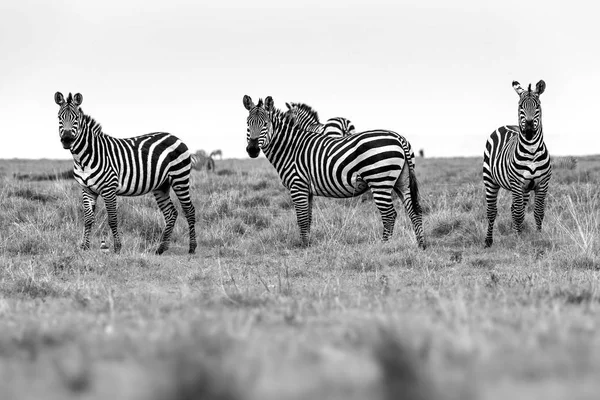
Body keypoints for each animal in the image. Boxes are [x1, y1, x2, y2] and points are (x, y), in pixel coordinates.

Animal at [52, 91, 196, 253]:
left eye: (76, 117)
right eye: (59, 117)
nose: (66, 140)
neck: (84, 158)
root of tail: (175, 137)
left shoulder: (109, 188)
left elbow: (112, 219)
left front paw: (117, 247)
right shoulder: (87, 189)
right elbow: (88, 219)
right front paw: (84, 247)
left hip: (180, 178)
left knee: (189, 210)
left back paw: (192, 247)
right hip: (161, 185)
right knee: (171, 213)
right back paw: (161, 248)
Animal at [241, 95, 424, 248]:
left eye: (265, 124)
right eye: (247, 124)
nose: (252, 150)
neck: (290, 148)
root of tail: (399, 138)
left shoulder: (297, 185)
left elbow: (301, 218)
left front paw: (303, 247)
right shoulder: (307, 189)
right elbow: (308, 218)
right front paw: (308, 243)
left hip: (380, 181)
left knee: (389, 215)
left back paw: (383, 246)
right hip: (402, 181)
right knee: (414, 211)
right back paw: (421, 245)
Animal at [482, 79, 552, 245]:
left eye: (537, 105)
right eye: (521, 106)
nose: (529, 129)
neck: (531, 150)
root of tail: (505, 125)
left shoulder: (542, 184)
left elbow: (538, 212)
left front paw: (537, 236)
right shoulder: (516, 183)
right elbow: (519, 214)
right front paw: (518, 240)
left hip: (524, 189)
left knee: (513, 208)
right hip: (490, 180)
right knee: (492, 211)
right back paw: (488, 241)